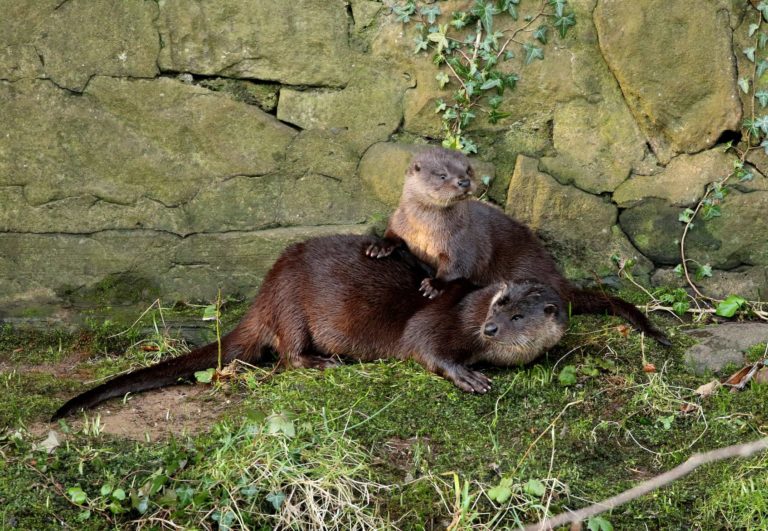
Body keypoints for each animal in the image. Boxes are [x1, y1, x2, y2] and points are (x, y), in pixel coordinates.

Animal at [48, 236, 564, 420]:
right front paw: (468, 375)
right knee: (288, 355)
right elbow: (425, 346)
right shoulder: (439, 318)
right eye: (499, 303)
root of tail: (265, 291)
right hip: (292, 307)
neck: (468, 313)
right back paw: (325, 361)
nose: (492, 329)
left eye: (518, 316)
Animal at [364, 147, 664, 344]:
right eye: (441, 174)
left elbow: (455, 269)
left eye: (468, 169)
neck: (425, 229)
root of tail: (559, 279)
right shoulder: (400, 221)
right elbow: (392, 234)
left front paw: (434, 285)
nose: (463, 181)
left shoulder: (461, 243)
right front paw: (379, 246)